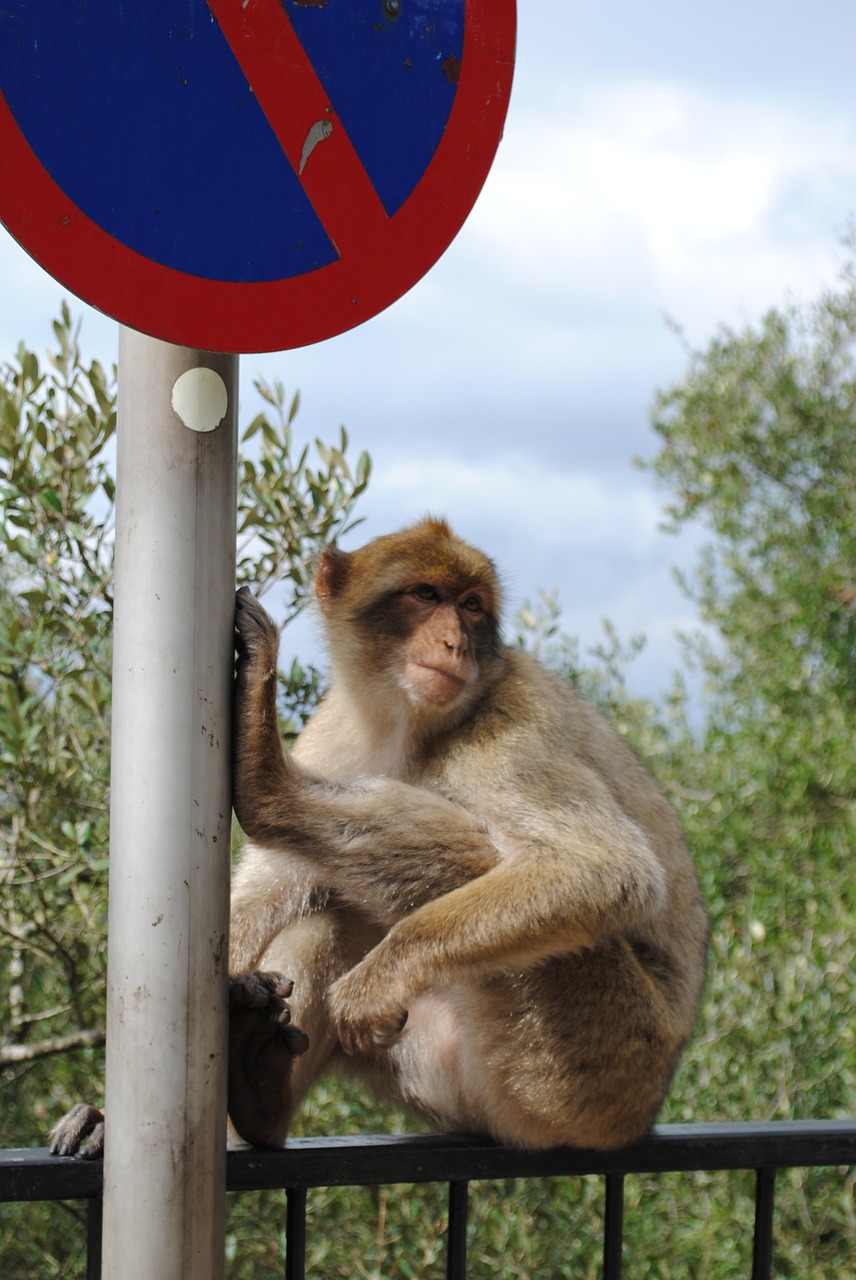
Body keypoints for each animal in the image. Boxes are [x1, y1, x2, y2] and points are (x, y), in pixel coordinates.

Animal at [51, 512, 706, 1162]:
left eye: (472, 606)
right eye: (426, 595)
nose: (455, 643)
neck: (404, 723)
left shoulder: (513, 724)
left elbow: (605, 870)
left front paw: (375, 980)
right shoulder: (334, 730)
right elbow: (269, 890)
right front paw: (108, 1114)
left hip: (586, 1059)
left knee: (469, 857)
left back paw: (268, 789)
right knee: (334, 912)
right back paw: (261, 1090)